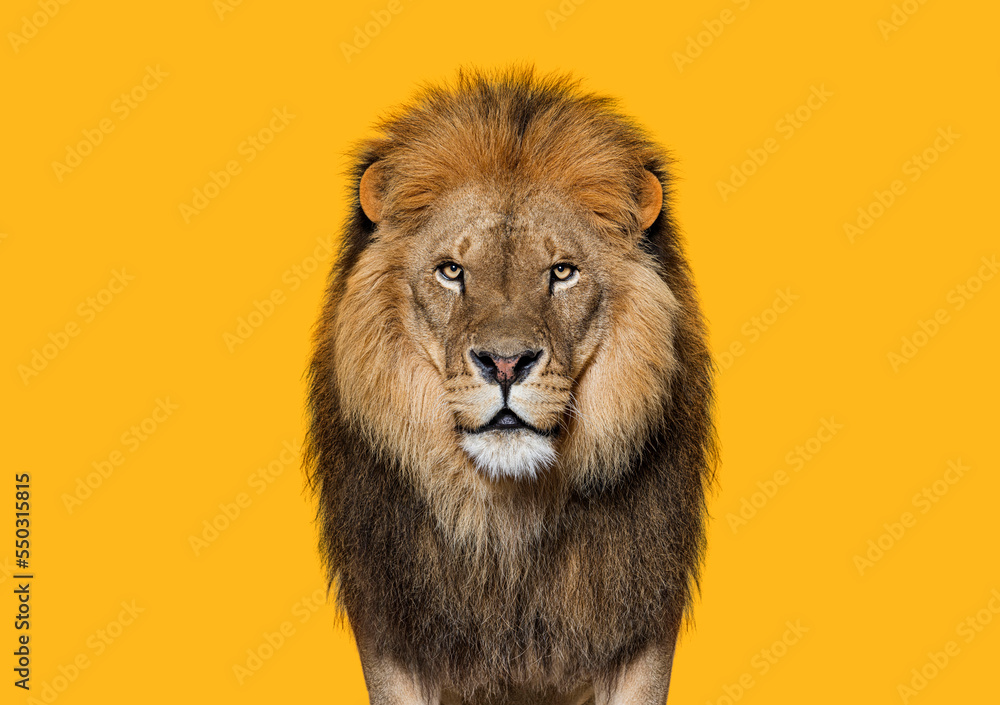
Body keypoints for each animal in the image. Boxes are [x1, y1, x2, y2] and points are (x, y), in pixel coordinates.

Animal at [305, 67, 716, 705]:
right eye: (451, 271)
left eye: (562, 272)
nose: (504, 364)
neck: (508, 519)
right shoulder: (391, 632)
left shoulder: (642, 627)